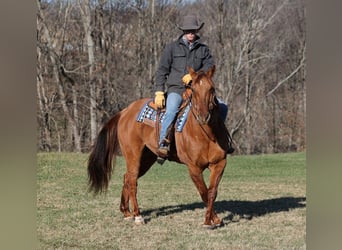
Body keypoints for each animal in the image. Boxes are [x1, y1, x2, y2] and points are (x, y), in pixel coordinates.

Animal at [88, 65, 232, 229]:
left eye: (212, 89)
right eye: (194, 89)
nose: (203, 116)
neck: (206, 135)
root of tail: (125, 111)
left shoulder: (219, 164)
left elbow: (212, 192)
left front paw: (215, 219)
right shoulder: (193, 168)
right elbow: (204, 192)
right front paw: (208, 222)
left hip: (146, 158)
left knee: (127, 177)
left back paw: (126, 212)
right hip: (133, 155)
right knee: (132, 181)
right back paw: (138, 216)